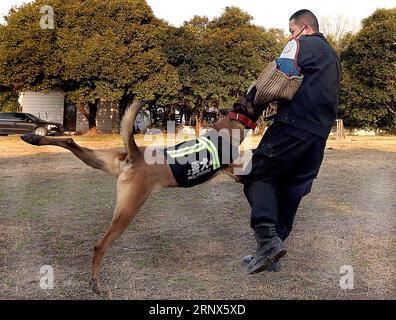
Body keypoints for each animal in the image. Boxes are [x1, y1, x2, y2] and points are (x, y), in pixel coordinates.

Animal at [20, 99, 264, 294]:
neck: (227, 128)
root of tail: (135, 155)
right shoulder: (238, 173)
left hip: (101, 162)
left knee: (70, 142)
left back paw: (32, 138)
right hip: (127, 211)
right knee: (100, 245)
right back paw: (95, 282)